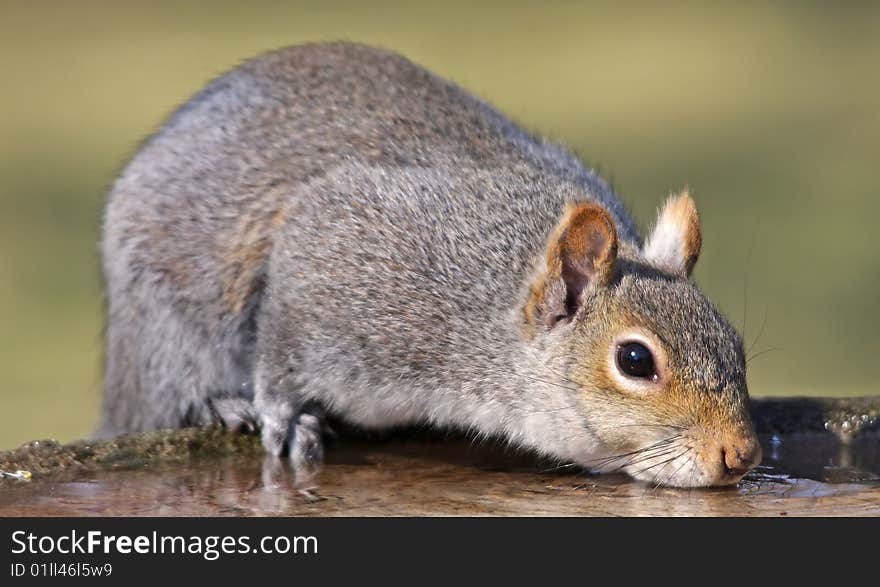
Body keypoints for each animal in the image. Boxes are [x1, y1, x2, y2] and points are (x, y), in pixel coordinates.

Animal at [99, 42, 760, 486]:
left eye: (735, 343)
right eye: (635, 361)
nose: (742, 454)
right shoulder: (341, 256)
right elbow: (283, 352)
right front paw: (283, 415)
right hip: (164, 324)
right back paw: (222, 404)